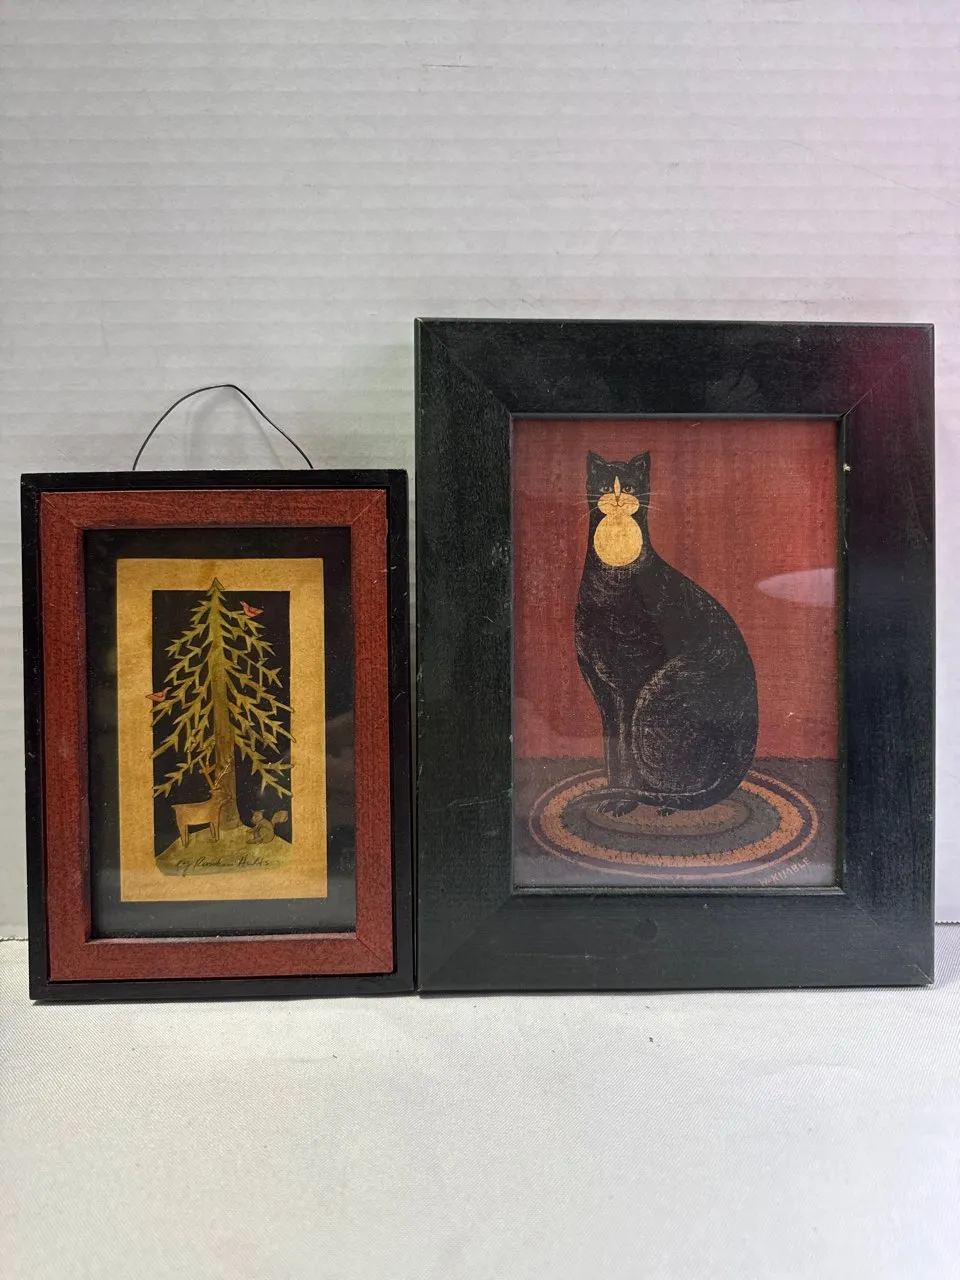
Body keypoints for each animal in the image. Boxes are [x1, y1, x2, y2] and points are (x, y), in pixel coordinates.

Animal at [574, 450, 758, 817]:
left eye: (630, 486)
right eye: (605, 486)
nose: (618, 497)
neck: (611, 578)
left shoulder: (630, 686)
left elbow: (626, 753)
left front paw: (623, 802)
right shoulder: (603, 691)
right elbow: (611, 750)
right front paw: (613, 795)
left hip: (659, 694)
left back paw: (666, 804)